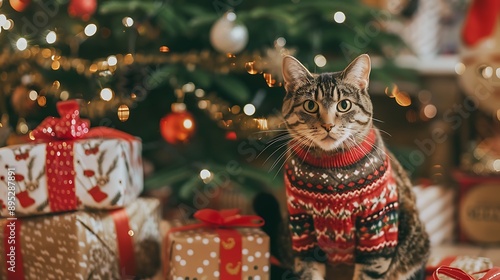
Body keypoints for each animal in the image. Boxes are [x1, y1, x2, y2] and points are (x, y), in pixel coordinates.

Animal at [282, 53, 430, 278]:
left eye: (344, 105)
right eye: (310, 105)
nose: (328, 125)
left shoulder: (378, 225)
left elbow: (368, 270)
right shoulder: (301, 226)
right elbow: (309, 270)